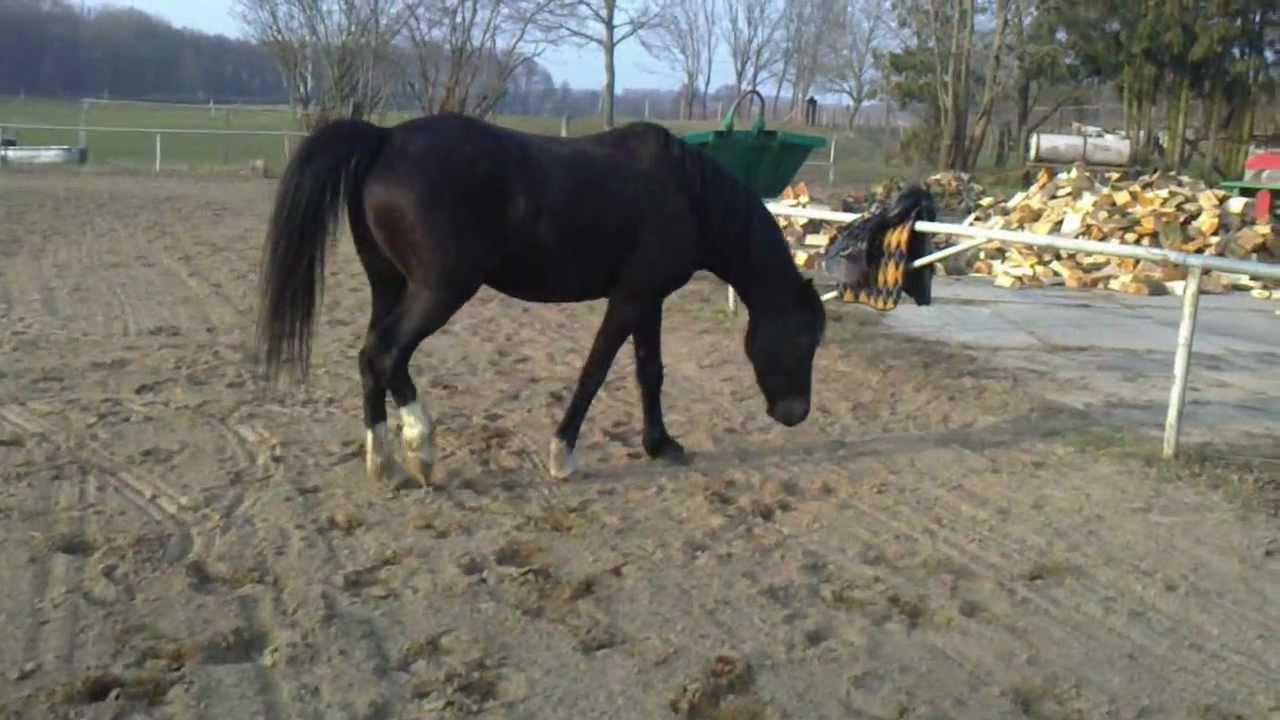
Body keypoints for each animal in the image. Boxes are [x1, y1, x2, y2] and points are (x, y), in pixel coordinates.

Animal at [254, 112, 827, 486]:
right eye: (804, 340)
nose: (796, 413)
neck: (687, 194)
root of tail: (385, 137)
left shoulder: (650, 299)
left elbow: (650, 372)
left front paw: (661, 445)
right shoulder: (630, 297)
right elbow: (596, 370)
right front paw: (562, 454)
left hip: (391, 285)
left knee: (375, 357)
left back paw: (388, 461)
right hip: (439, 291)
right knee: (386, 354)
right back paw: (420, 451)